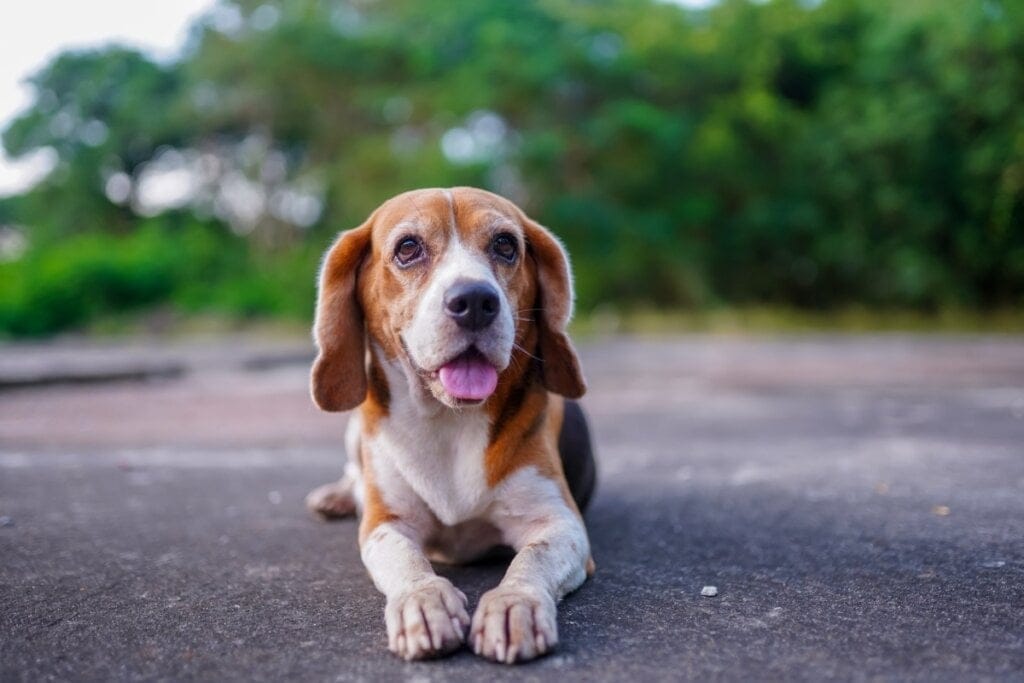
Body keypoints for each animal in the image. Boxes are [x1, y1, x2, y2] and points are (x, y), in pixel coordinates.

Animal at [301, 187, 598, 663]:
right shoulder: (386, 524)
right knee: (353, 471)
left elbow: (531, 560)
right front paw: (423, 602)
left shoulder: (561, 524)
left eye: (505, 245)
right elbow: (406, 560)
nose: (475, 301)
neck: (447, 420)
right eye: (408, 248)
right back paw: (339, 495)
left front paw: (514, 604)